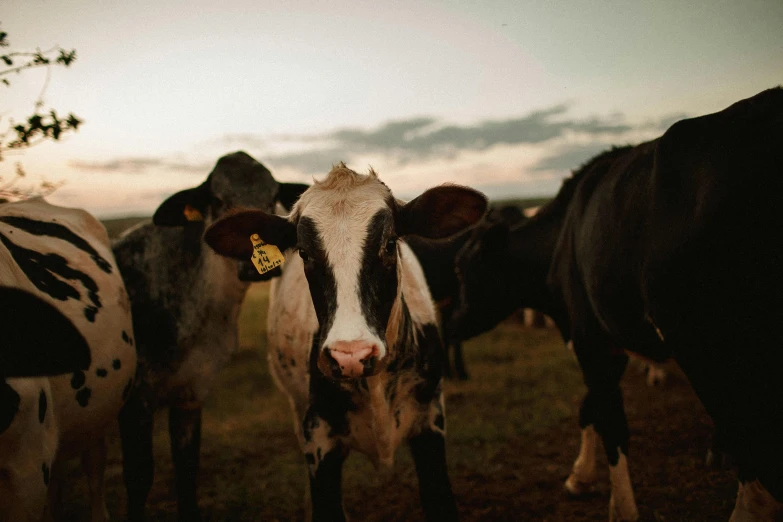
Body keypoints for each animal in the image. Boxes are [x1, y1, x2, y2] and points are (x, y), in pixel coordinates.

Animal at [112, 150, 308, 520]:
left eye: (272, 197)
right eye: (217, 199)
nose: (256, 265)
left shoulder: (192, 391)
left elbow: (187, 469)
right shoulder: (136, 398)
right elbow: (139, 477)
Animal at [454, 87, 783, 516]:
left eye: (465, 269)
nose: (450, 320)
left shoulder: (590, 335)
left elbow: (609, 420)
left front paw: (617, 505)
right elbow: (590, 406)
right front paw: (580, 475)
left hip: (718, 355)